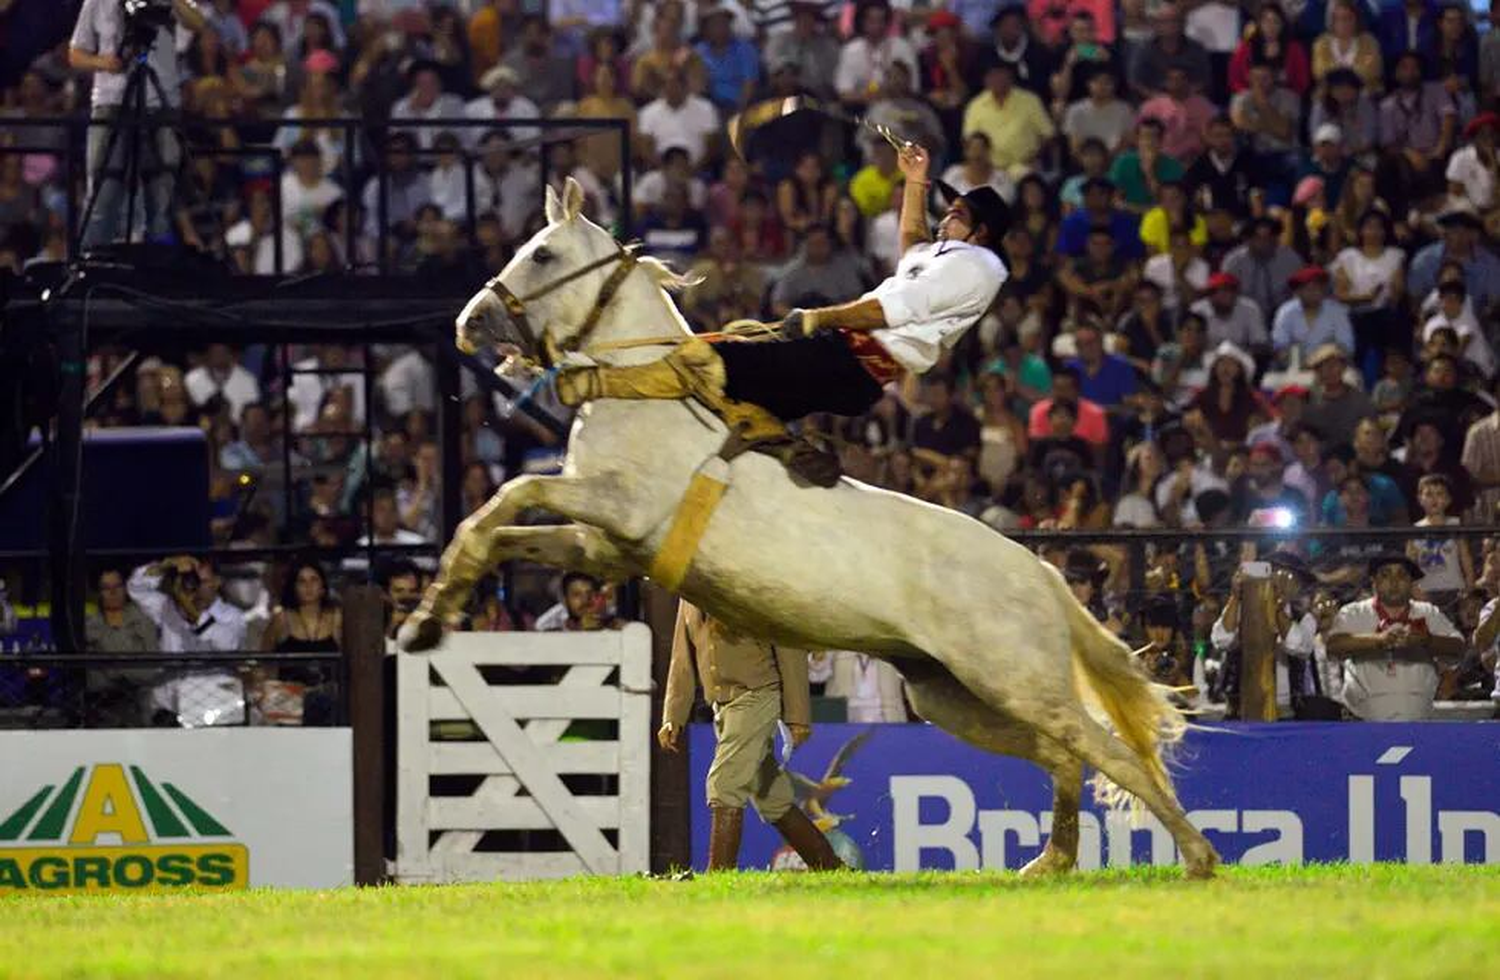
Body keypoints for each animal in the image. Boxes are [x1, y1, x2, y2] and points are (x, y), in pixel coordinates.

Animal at [408, 177, 1218, 876]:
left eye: (543, 253)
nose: (470, 323)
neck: (648, 391)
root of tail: (1041, 573)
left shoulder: (614, 503)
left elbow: (512, 492)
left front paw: (425, 616)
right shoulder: (605, 546)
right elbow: (500, 530)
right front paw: (429, 617)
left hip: (1014, 679)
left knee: (1108, 750)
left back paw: (1196, 856)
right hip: (950, 694)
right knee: (1063, 757)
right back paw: (1052, 861)